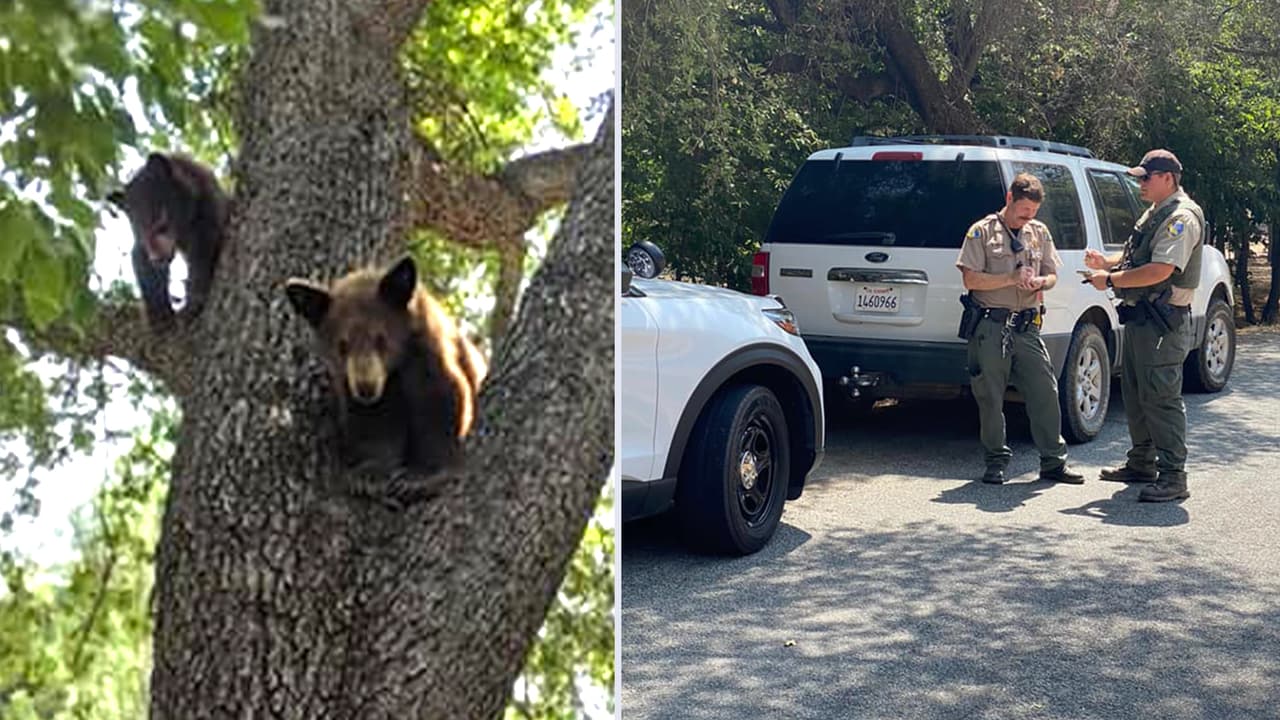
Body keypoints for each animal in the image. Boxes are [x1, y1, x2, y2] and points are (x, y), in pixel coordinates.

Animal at [107, 153, 228, 328]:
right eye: (139, 234)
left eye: (161, 226)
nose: (156, 259)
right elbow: (142, 263)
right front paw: (160, 317)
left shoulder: (208, 213)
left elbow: (203, 250)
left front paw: (191, 305)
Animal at [285, 256, 487, 485]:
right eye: (342, 345)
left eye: (380, 339)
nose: (366, 388)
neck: (395, 374)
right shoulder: (362, 391)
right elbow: (374, 425)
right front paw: (372, 472)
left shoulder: (428, 360)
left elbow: (441, 407)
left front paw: (425, 473)